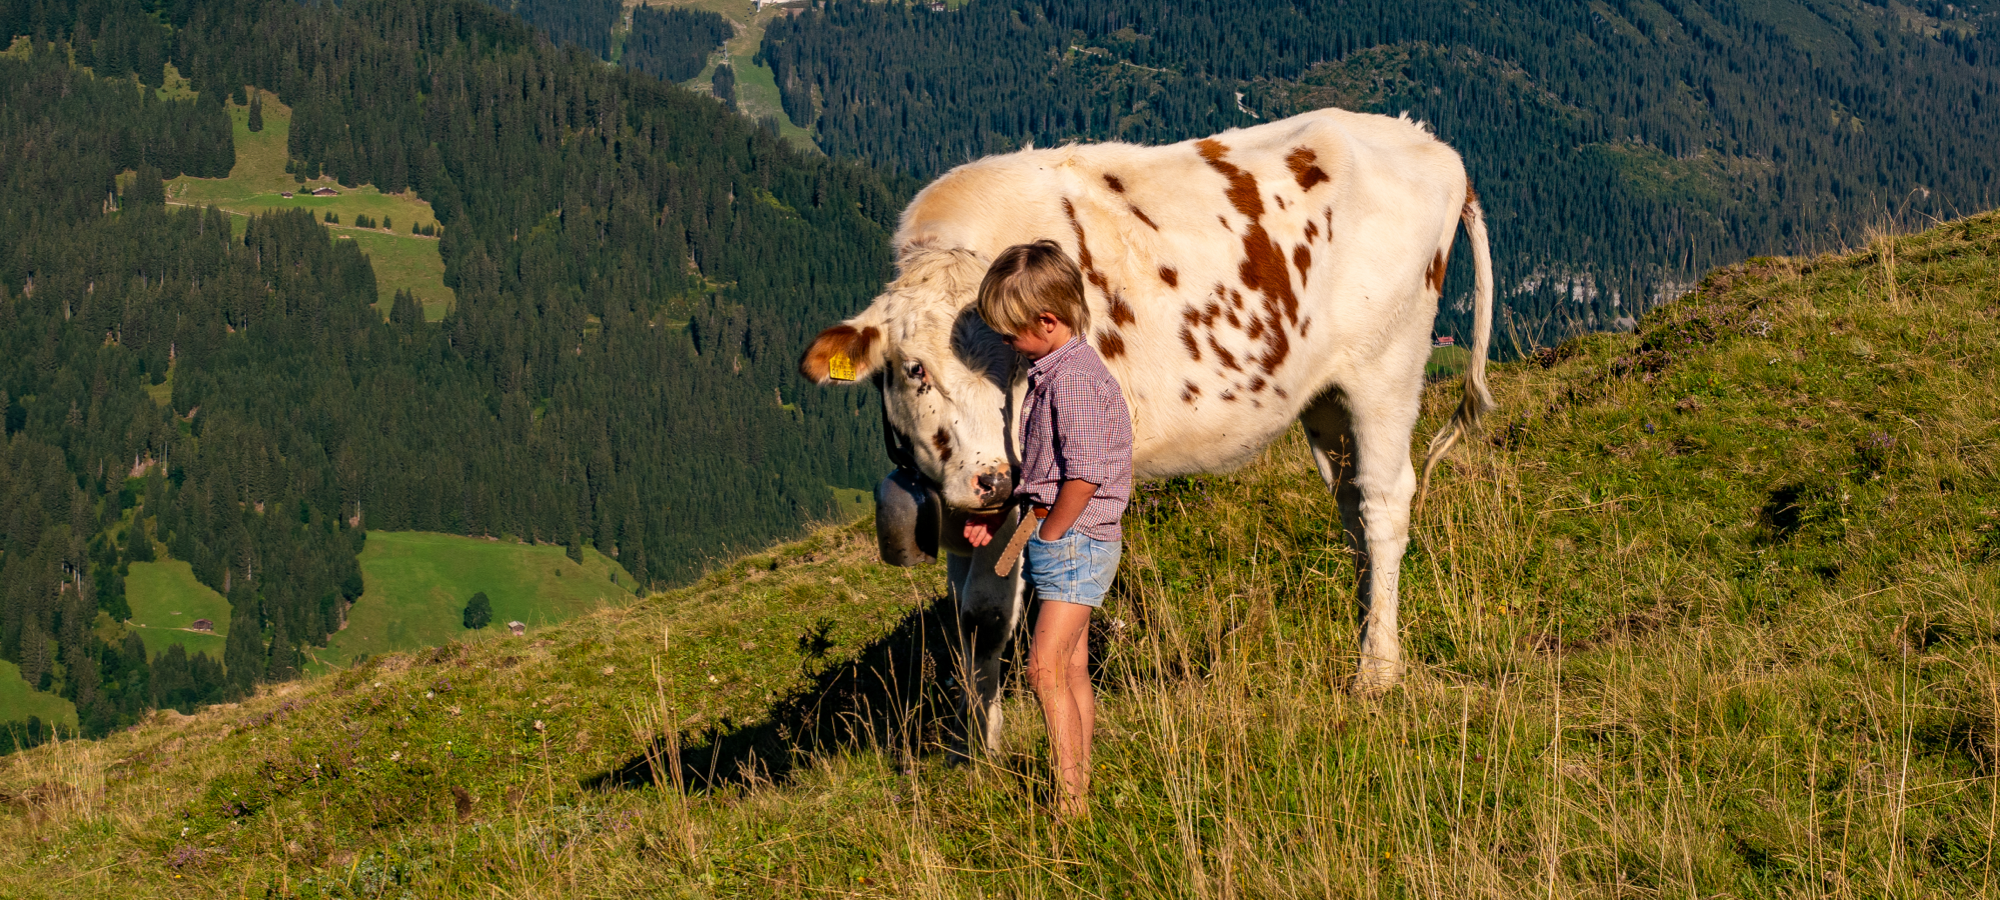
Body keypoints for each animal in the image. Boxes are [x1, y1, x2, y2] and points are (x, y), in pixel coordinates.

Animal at [804, 107, 1496, 752]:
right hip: (1327, 395)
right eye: (914, 368)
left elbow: (985, 613)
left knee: (1383, 503)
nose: (993, 479)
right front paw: (968, 741)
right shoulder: (958, 508)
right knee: (1351, 504)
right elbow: (964, 618)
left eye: (1016, 366)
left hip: (1388, 366)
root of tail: (1427, 141)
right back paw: (1363, 627)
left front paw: (985, 757)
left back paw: (1376, 671)